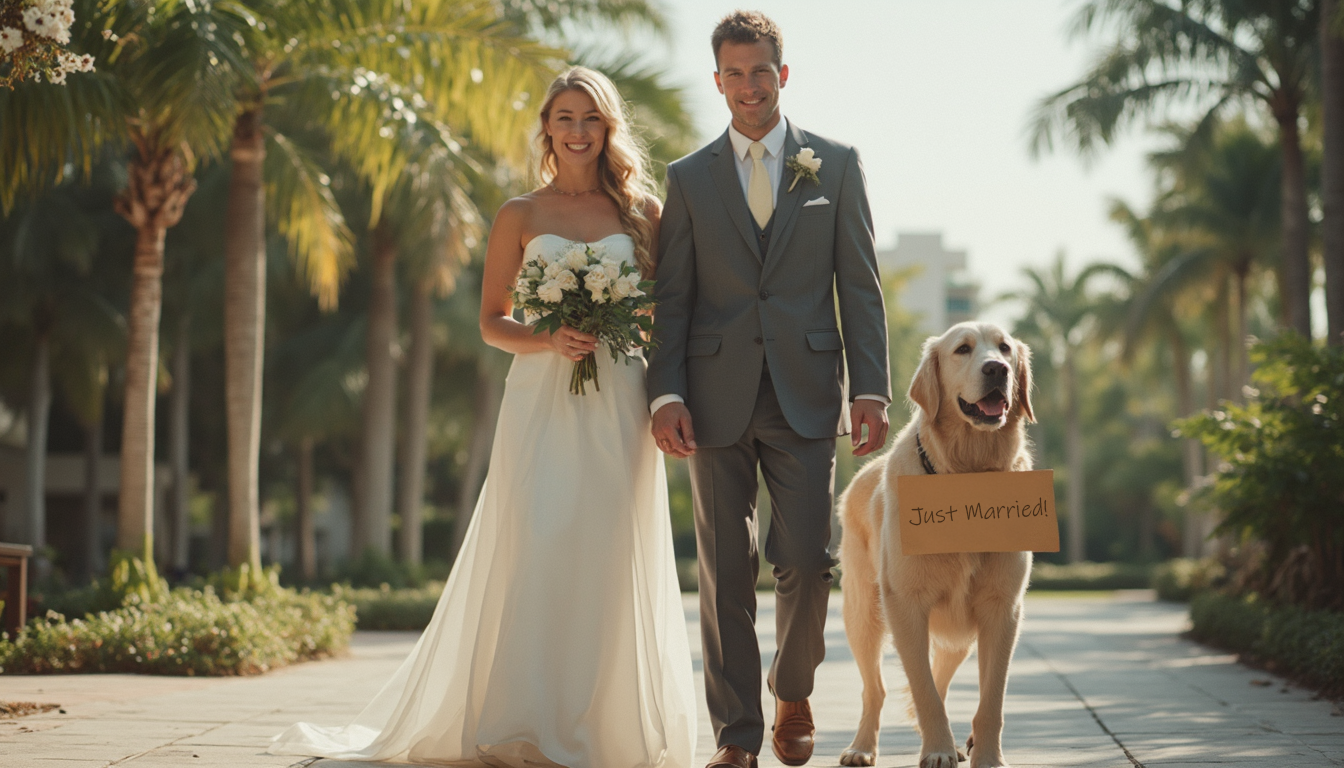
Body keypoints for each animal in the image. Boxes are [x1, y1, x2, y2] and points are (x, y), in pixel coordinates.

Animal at [838, 321, 1037, 768]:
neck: (966, 473)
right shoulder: (905, 604)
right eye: (962, 349)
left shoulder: (1002, 608)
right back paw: (862, 746)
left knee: (941, 675)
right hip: (863, 612)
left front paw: (988, 756)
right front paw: (938, 750)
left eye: (1005, 348)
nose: (997, 369)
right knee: (875, 688)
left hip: (957, 633)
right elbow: (923, 689)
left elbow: (991, 699)